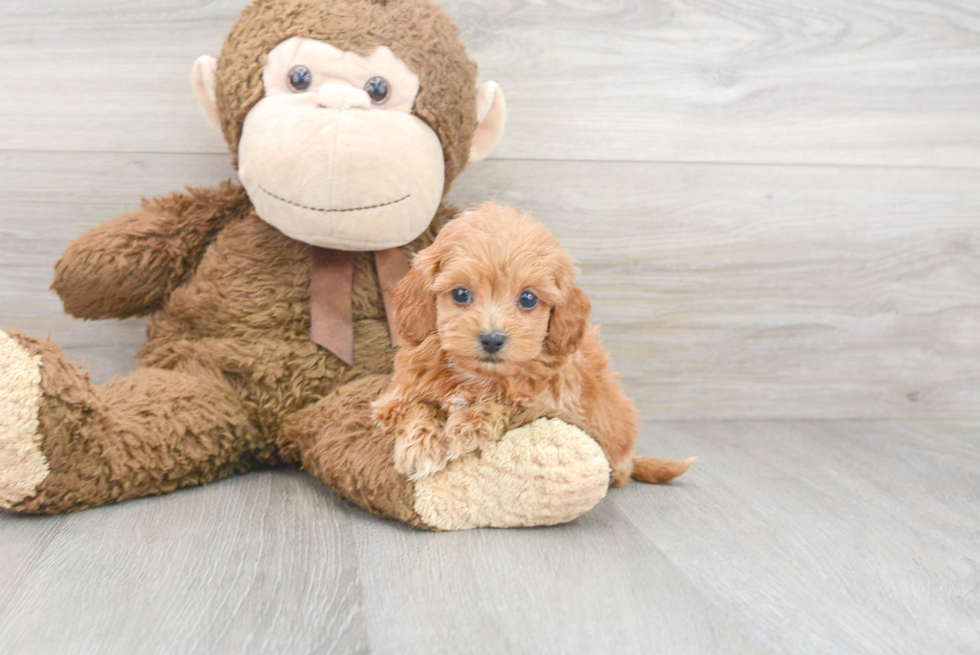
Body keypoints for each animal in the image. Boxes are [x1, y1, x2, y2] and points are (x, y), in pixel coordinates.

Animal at [372, 202, 692, 484]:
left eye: (528, 299)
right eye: (461, 294)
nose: (492, 339)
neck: (477, 378)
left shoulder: (551, 399)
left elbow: (510, 401)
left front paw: (468, 426)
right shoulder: (394, 397)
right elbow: (415, 407)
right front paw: (421, 448)